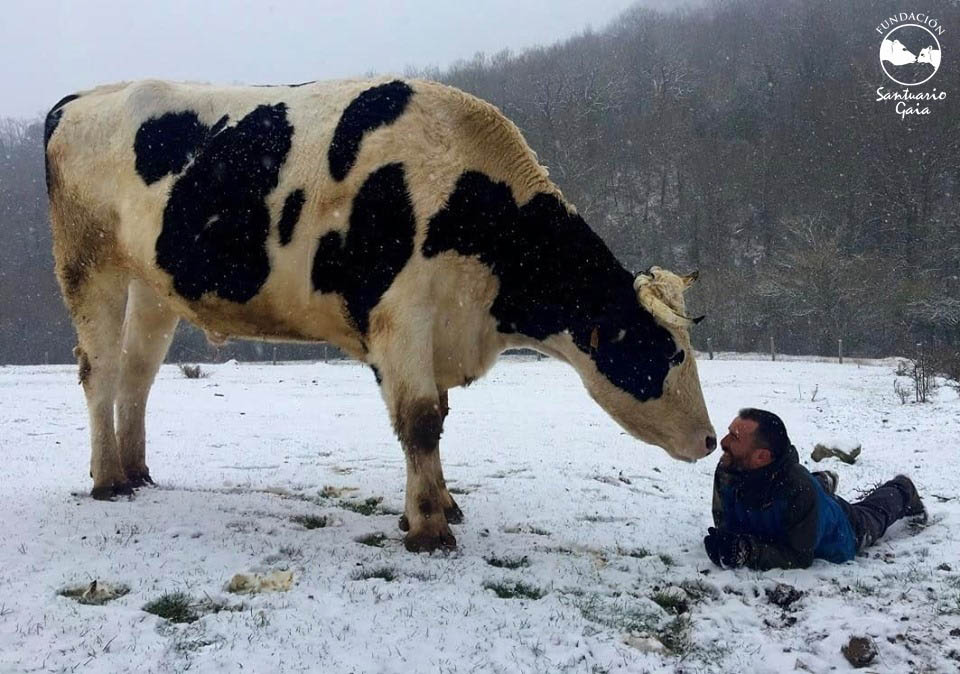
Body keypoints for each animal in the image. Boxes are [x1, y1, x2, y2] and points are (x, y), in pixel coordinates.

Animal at [48, 79, 716, 552]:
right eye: (665, 351)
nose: (711, 440)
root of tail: (81, 98)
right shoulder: (401, 317)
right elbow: (420, 420)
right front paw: (430, 531)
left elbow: (436, 418)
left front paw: (442, 505)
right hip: (87, 264)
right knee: (100, 371)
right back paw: (108, 481)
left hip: (151, 288)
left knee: (136, 375)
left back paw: (136, 472)